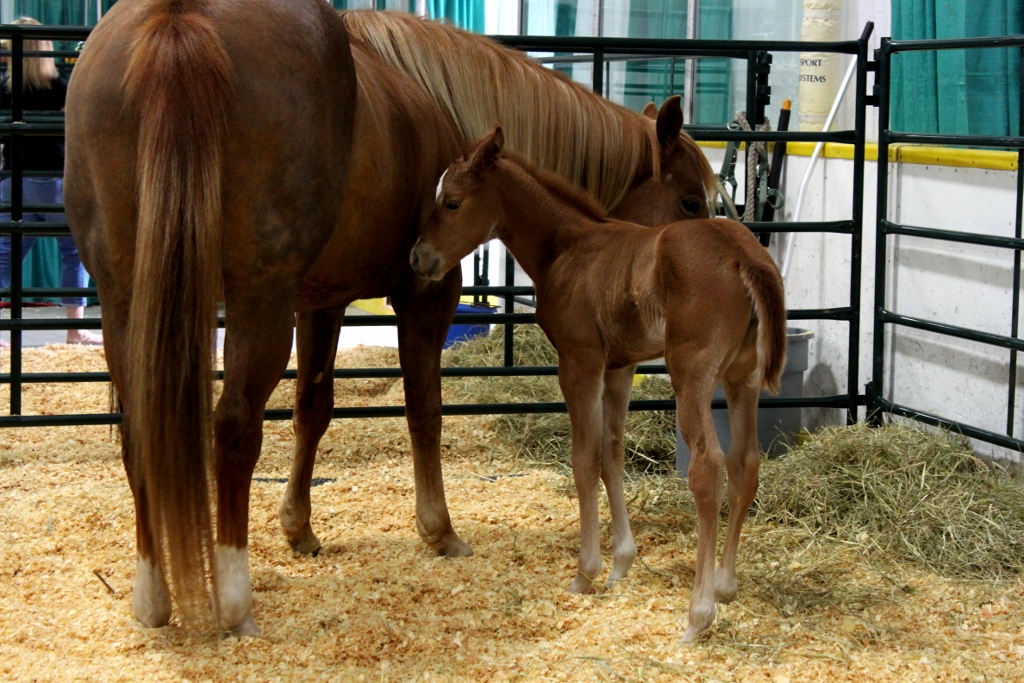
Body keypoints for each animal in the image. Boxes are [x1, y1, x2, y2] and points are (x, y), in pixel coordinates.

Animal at [410, 126, 788, 643]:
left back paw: (698, 613)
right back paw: (726, 584)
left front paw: (585, 572)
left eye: (451, 202)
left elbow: (583, 459)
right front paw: (621, 564)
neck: (568, 246)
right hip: (741, 377)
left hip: (690, 373)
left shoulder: (579, 362)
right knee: (744, 462)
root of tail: (744, 255)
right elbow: (612, 452)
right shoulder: (618, 367)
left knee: (708, 467)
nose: (418, 258)